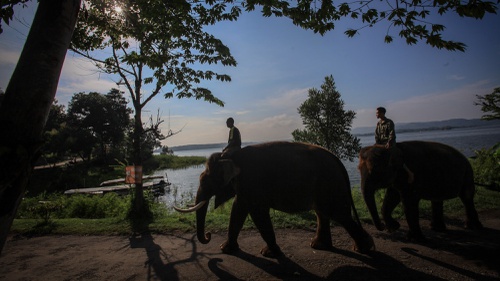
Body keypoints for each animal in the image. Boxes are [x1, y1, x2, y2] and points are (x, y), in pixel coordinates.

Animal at [174, 141, 374, 258]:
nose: (208, 235)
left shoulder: (252, 181)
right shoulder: (245, 186)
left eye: (205, 180)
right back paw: (319, 245)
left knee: (339, 214)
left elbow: (257, 212)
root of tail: (337, 160)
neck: (229, 156)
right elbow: (238, 209)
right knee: (323, 212)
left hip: (330, 183)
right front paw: (227, 249)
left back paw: (364, 248)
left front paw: (269, 253)